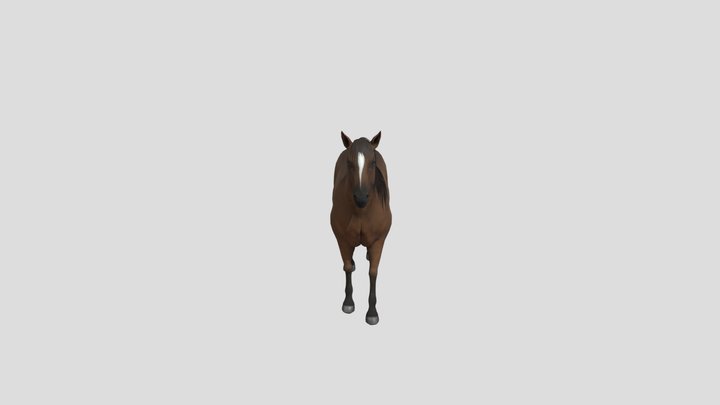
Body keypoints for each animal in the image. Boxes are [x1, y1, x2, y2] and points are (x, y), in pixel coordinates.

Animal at [330, 131, 392, 325]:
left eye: (372, 163)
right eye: (349, 163)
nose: (361, 197)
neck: (361, 212)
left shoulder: (379, 241)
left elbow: (373, 273)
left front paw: (372, 312)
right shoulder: (342, 239)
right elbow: (347, 267)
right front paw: (348, 303)